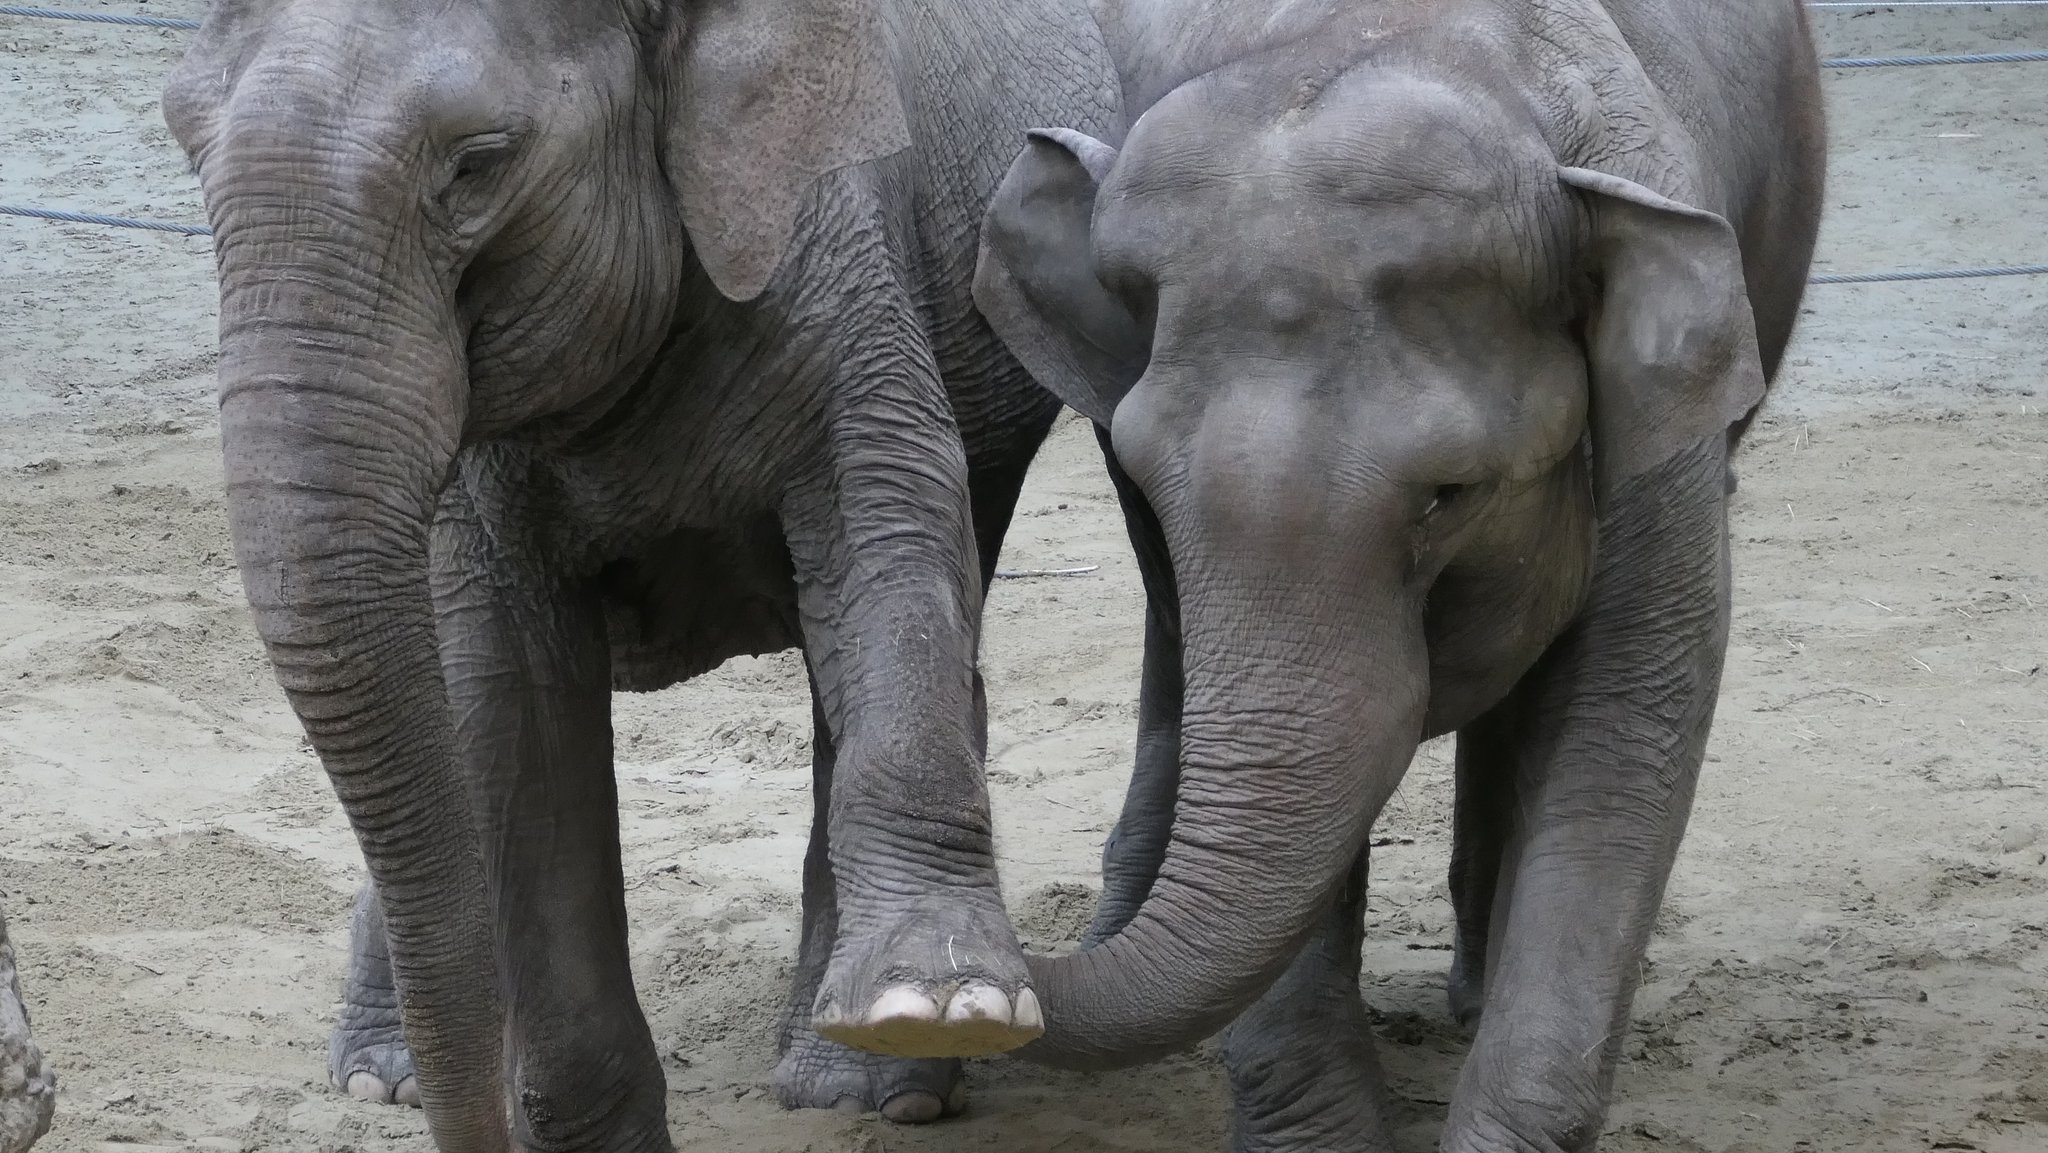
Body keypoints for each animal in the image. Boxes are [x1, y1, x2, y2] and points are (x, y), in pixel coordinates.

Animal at [159, 0, 1122, 1146]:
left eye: (478, 164)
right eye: (183, 143)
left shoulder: (833, 240)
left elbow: (884, 518)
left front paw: (932, 1007)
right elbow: (509, 705)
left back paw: (865, 1084)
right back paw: (378, 1079)